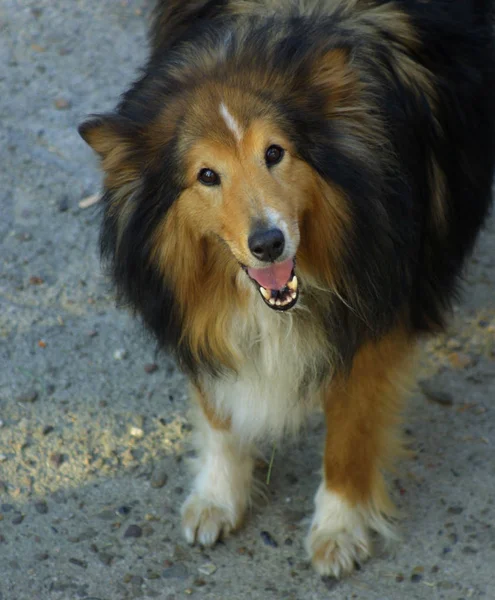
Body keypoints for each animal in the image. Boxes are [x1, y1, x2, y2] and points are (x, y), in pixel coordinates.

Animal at [78, 0, 495, 580]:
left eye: (275, 152)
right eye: (207, 175)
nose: (269, 244)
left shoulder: (375, 312)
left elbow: (348, 434)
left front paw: (338, 529)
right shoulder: (193, 308)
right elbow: (219, 409)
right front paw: (218, 497)